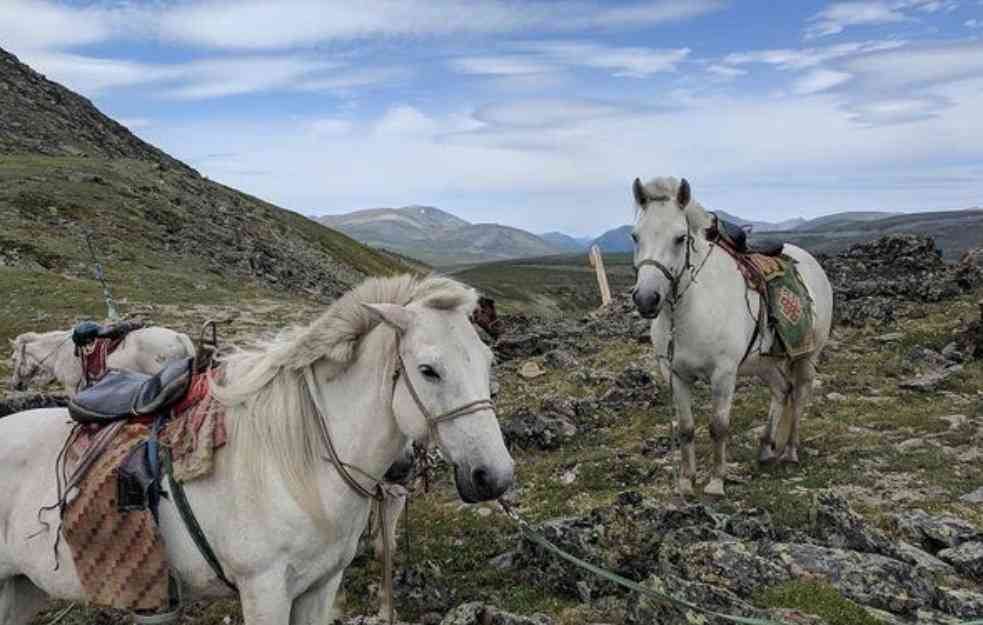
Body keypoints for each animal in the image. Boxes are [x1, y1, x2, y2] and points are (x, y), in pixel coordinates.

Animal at [632, 176, 832, 498]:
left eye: (680, 238)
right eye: (635, 237)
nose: (647, 299)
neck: (693, 309)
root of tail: (810, 261)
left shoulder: (724, 373)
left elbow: (718, 426)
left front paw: (716, 482)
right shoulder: (675, 374)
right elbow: (686, 428)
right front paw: (686, 481)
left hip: (807, 356)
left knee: (800, 395)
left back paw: (790, 452)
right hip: (765, 362)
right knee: (782, 390)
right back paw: (766, 450)